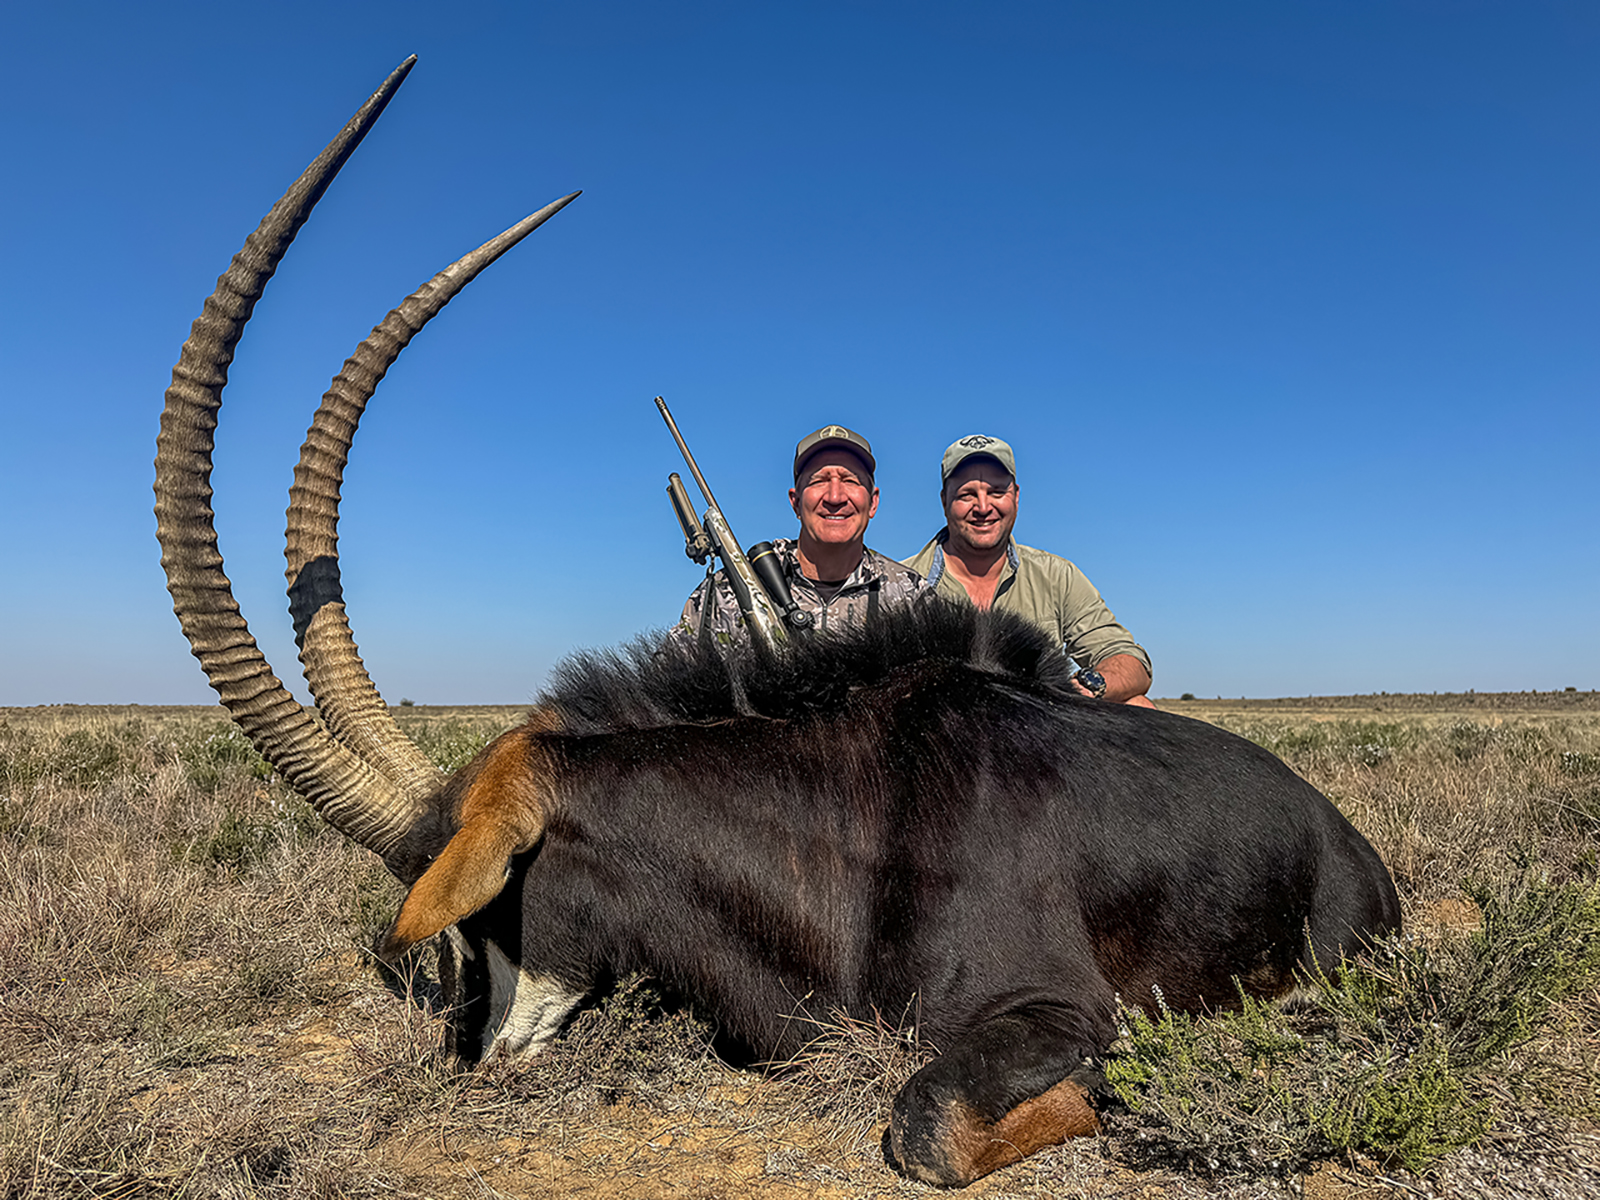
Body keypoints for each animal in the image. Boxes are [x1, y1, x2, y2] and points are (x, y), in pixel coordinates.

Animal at [152, 58, 1401, 1196]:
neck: (845, 820)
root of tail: (1340, 832)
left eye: (495, 897)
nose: (476, 1059)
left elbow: (928, 1123)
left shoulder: (1056, 1009)